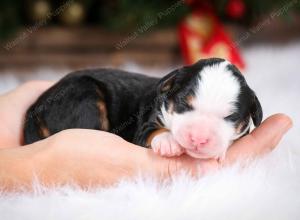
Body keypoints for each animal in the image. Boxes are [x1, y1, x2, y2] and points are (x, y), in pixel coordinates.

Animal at [24, 57, 262, 159]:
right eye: (183, 103)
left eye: (230, 117)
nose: (198, 139)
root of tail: (35, 107)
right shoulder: (146, 123)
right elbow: (151, 131)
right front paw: (168, 141)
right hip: (84, 96)